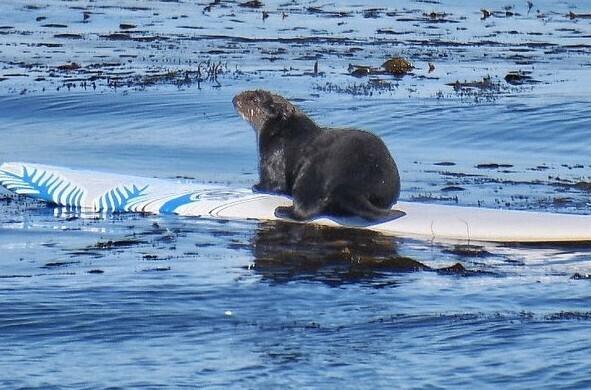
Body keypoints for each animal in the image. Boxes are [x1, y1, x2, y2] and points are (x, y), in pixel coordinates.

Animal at [232, 89, 402, 221]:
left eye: (253, 99)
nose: (235, 99)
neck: (285, 129)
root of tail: (351, 184)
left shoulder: (273, 154)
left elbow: (274, 184)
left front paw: (257, 186)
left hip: (313, 172)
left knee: (305, 209)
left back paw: (282, 210)